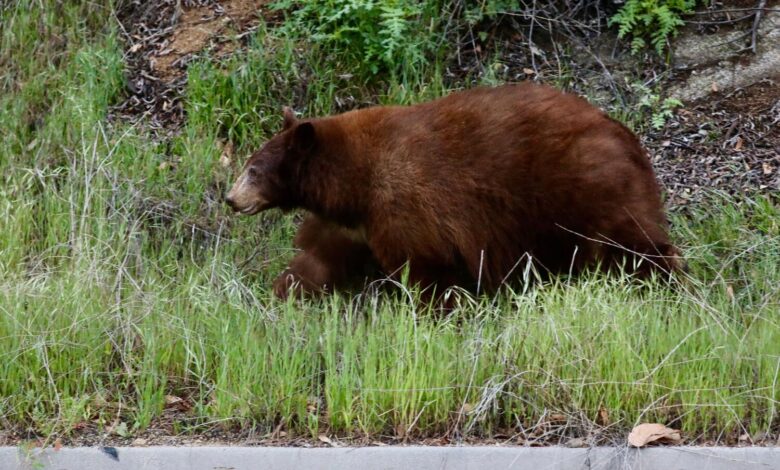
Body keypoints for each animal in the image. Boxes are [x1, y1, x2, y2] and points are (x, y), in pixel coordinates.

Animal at [225, 83, 681, 302]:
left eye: (253, 169)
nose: (231, 199)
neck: (352, 180)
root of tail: (623, 133)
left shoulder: (404, 205)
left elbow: (426, 268)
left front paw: (442, 310)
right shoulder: (352, 223)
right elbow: (318, 258)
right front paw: (283, 292)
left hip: (587, 185)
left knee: (632, 242)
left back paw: (663, 283)